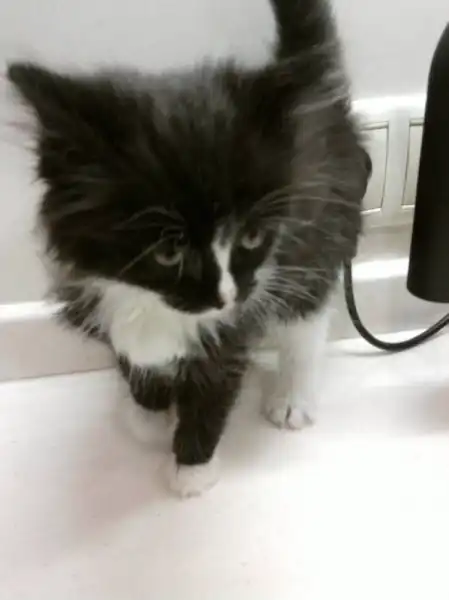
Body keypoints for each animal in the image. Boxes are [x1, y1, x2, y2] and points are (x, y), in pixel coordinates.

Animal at [7, 0, 371, 497]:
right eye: (168, 252)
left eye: (251, 238)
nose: (225, 297)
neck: (151, 302)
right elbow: (136, 360)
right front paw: (147, 413)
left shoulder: (244, 308)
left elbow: (215, 384)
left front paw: (192, 468)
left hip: (321, 234)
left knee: (307, 318)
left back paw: (292, 396)